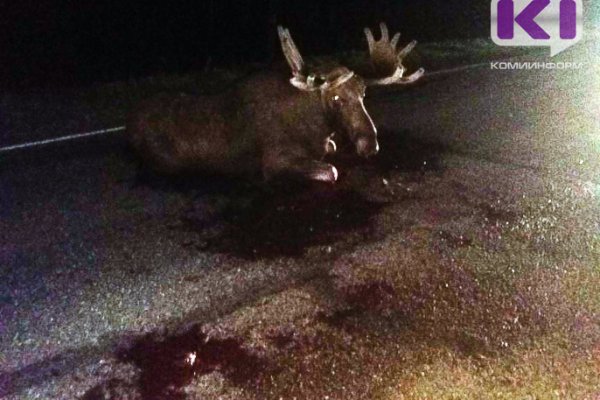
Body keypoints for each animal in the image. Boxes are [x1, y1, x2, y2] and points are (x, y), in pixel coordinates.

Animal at [128, 23, 424, 183]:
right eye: (336, 98)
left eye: (363, 94)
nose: (370, 145)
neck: (316, 127)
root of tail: (133, 122)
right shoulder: (275, 160)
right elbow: (331, 171)